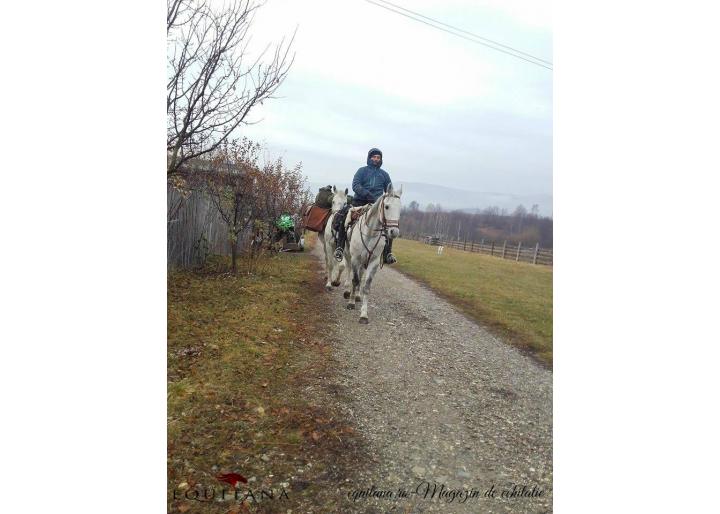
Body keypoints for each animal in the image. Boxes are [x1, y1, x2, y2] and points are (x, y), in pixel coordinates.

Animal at [342, 182, 400, 322]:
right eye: (387, 206)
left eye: (400, 208)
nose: (394, 232)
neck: (370, 234)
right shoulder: (356, 259)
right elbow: (355, 280)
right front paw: (351, 303)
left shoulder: (373, 262)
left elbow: (366, 286)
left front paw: (363, 314)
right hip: (348, 255)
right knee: (349, 270)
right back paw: (347, 292)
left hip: (364, 261)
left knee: (361, 274)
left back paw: (357, 295)